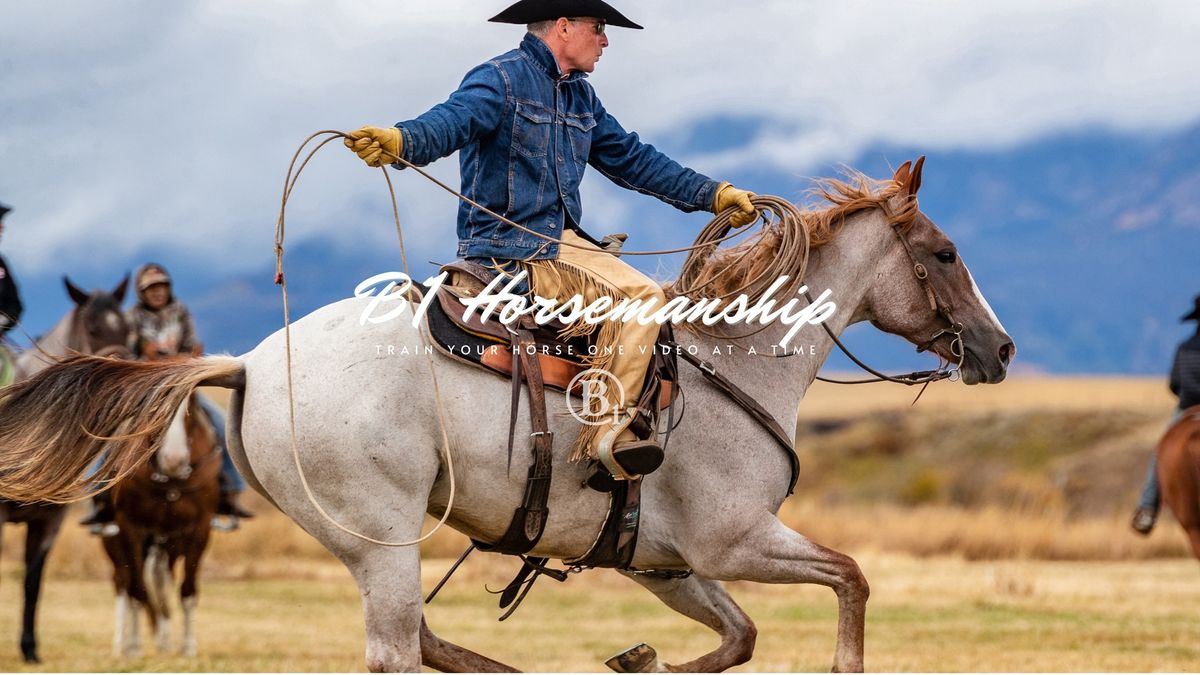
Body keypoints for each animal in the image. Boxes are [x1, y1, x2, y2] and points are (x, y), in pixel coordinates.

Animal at [104, 391, 222, 653]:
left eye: (192, 402)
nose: (173, 460)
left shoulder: (199, 529)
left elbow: (187, 589)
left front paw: (188, 646)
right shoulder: (130, 527)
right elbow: (138, 589)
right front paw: (135, 646)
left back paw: (165, 641)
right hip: (115, 543)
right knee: (123, 583)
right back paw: (121, 644)